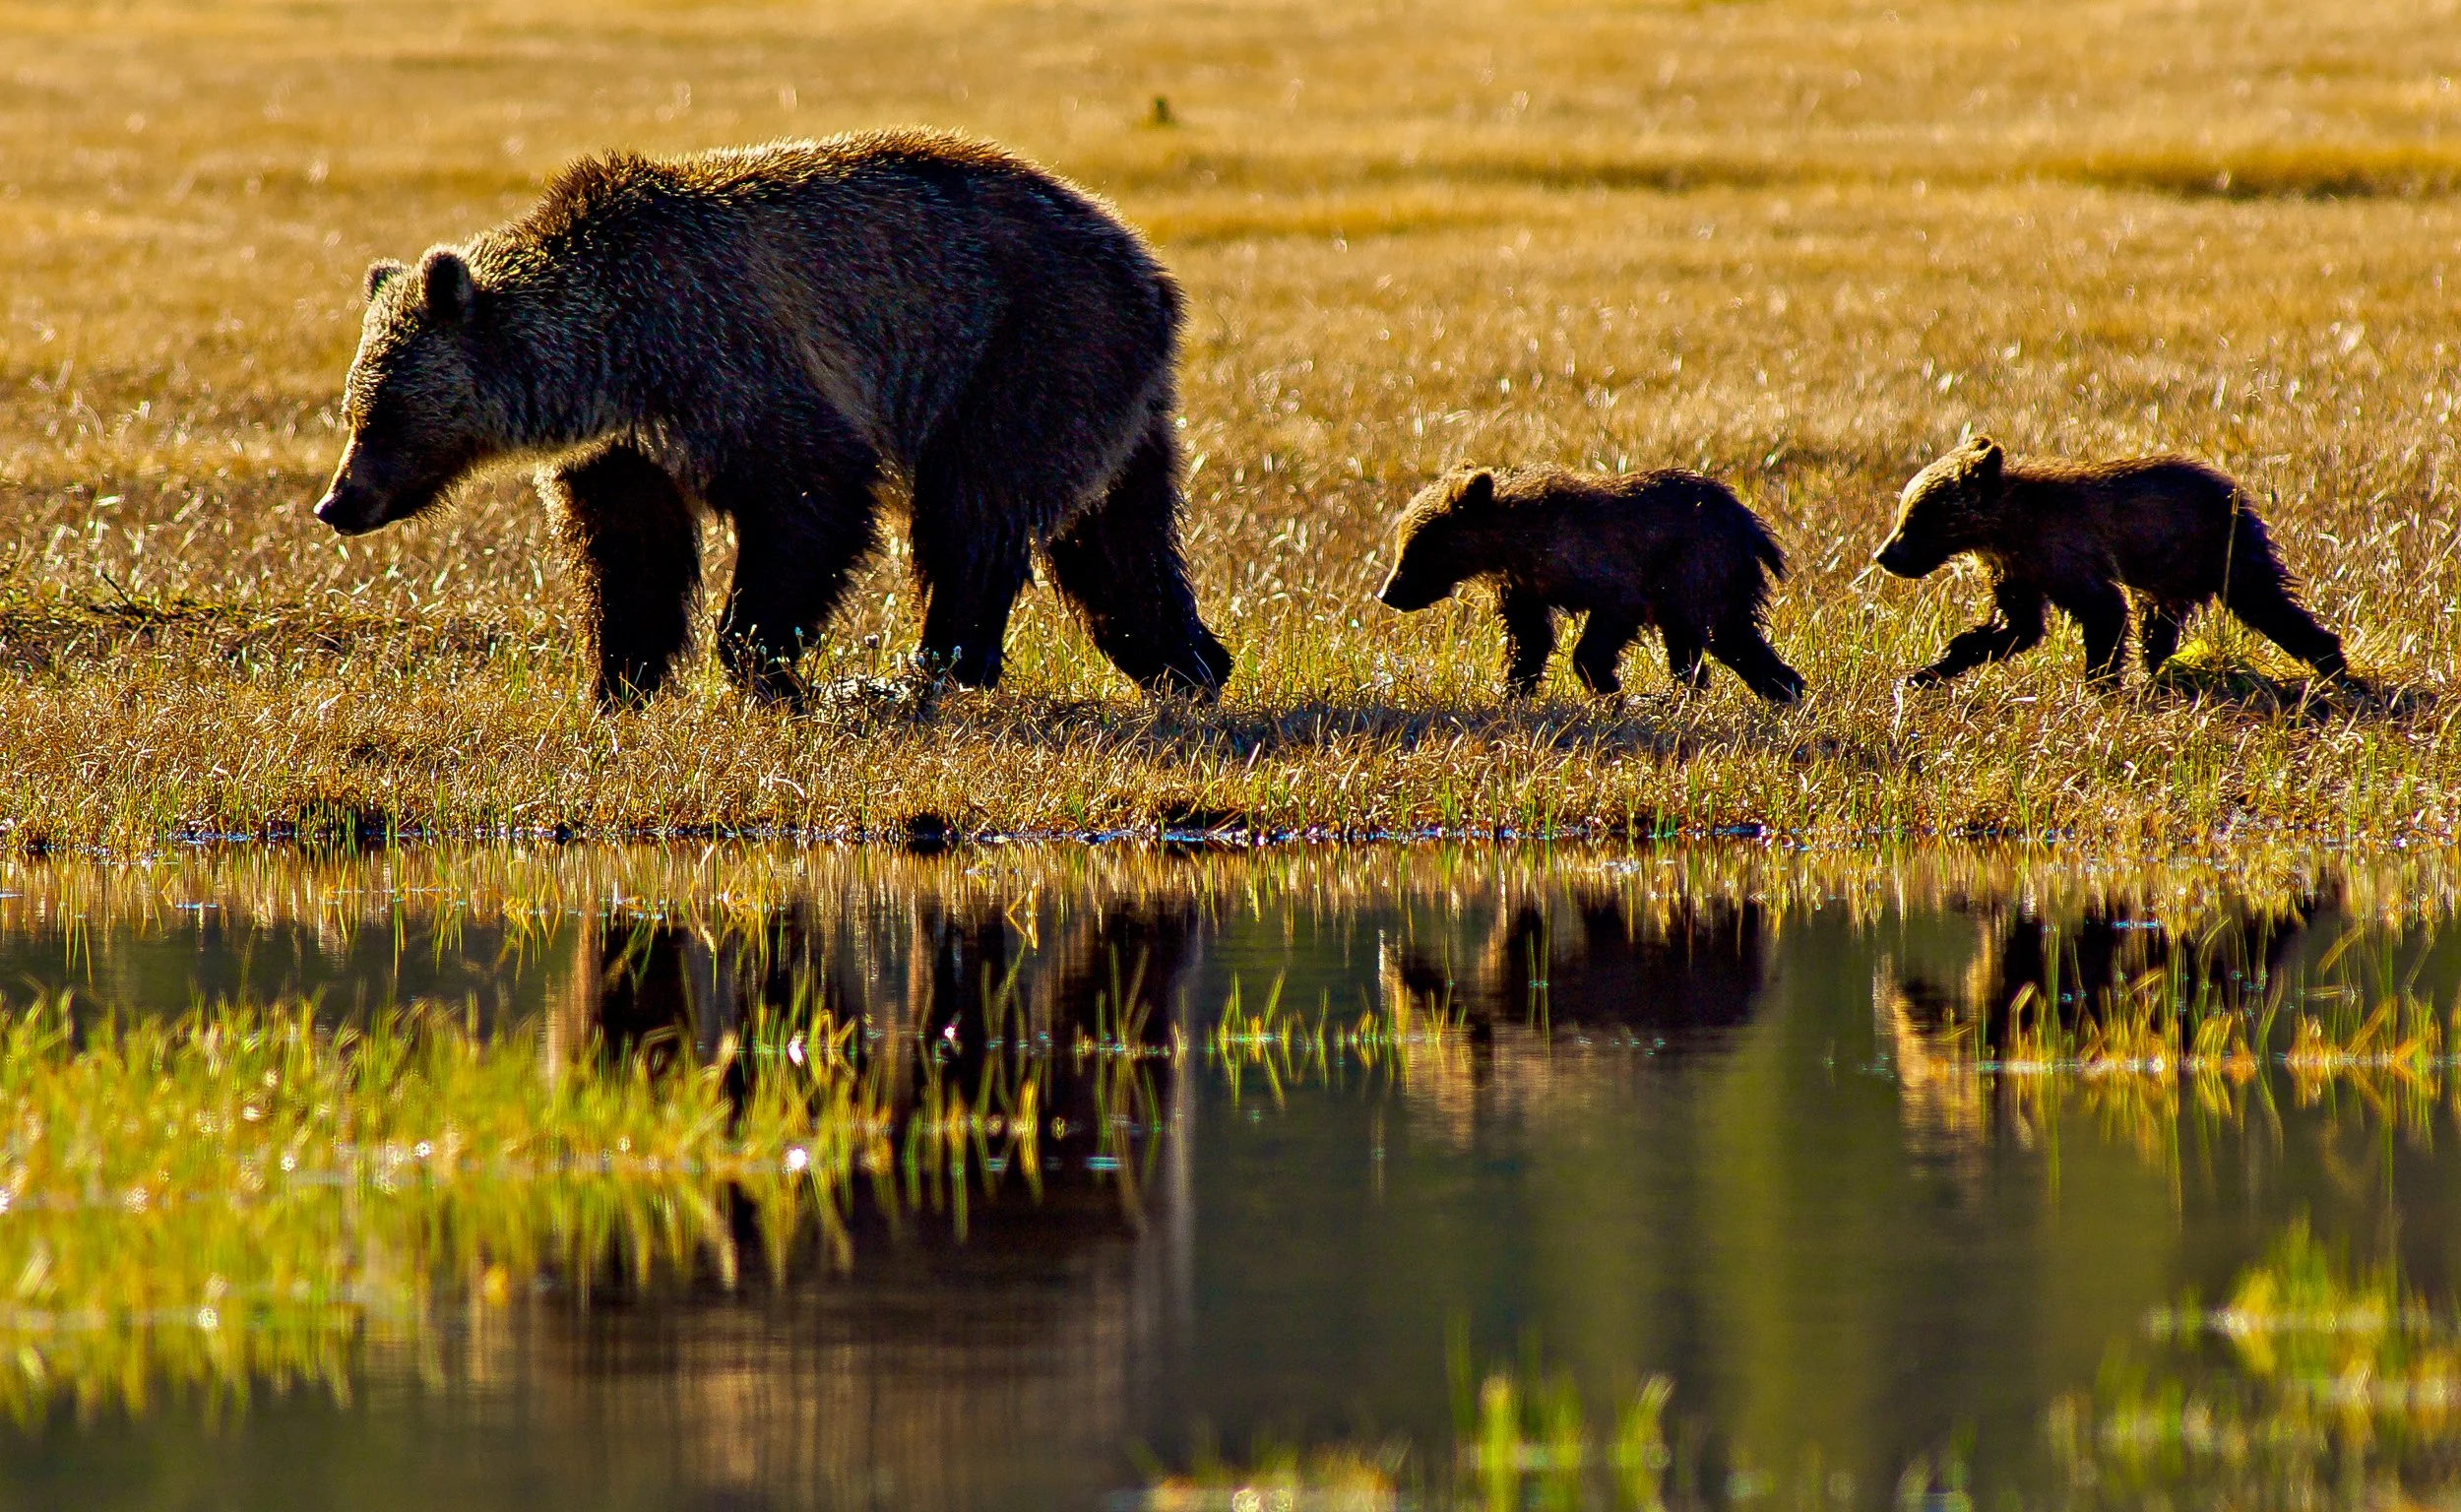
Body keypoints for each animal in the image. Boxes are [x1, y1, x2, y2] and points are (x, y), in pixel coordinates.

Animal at [312, 129, 1233, 706]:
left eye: (381, 412)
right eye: (352, 409)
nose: (337, 503)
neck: (611, 360)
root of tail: (1153, 270)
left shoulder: (729, 359)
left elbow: (810, 497)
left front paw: (766, 666)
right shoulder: (625, 448)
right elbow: (632, 555)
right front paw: (618, 683)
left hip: (1027, 340)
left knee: (975, 505)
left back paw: (928, 667)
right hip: (1111, 388)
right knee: (1119, 534)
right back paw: (1188, 660)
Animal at [1374, 465, 1806, 704]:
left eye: (1416, 547)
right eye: (1404, 544)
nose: (1388, 593)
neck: (1513, 544)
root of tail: (1749, 523)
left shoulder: (1601, 568)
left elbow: (1608, 623)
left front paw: (1608, 686)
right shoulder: (1524, 586)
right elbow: (1529, 639)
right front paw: (1511, 692)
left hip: (1698, 565)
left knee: (1719, 633)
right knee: (1713, 640)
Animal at [1872, 436, 2349, 687]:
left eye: (1916, 518)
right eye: (1904, 512)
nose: (1883, 555)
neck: (2003, 528)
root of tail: (2236, 490)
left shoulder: (2060, 552)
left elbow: (2102, 609)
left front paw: (2097, 682)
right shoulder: (2016, 569)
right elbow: (2018, 625)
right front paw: (1930, 668)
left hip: (2217, 550)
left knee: (2266, 603)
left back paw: (2333, 665)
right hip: (2173, 571)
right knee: (2161, 623)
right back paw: (2158, 671)